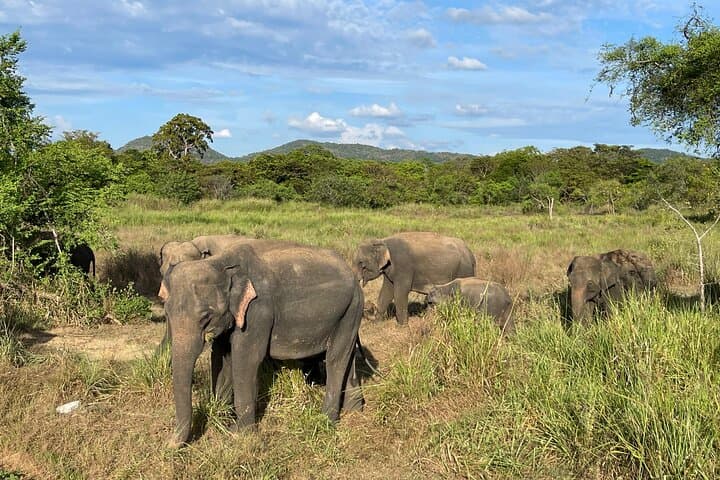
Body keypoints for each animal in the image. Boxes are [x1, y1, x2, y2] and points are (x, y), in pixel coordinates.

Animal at [164, 243, 364, 447]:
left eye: (205, 317)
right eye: (167, 312)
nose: (169, 444)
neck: (221, 262)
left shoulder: (257, 312)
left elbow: (246, 360)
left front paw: (239, 434)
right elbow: (221, 358)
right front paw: (221, 419)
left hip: (351, 309)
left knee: (335, 360)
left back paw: (327, 420)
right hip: (348, 312)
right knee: (347, 357)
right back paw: (353, 409)